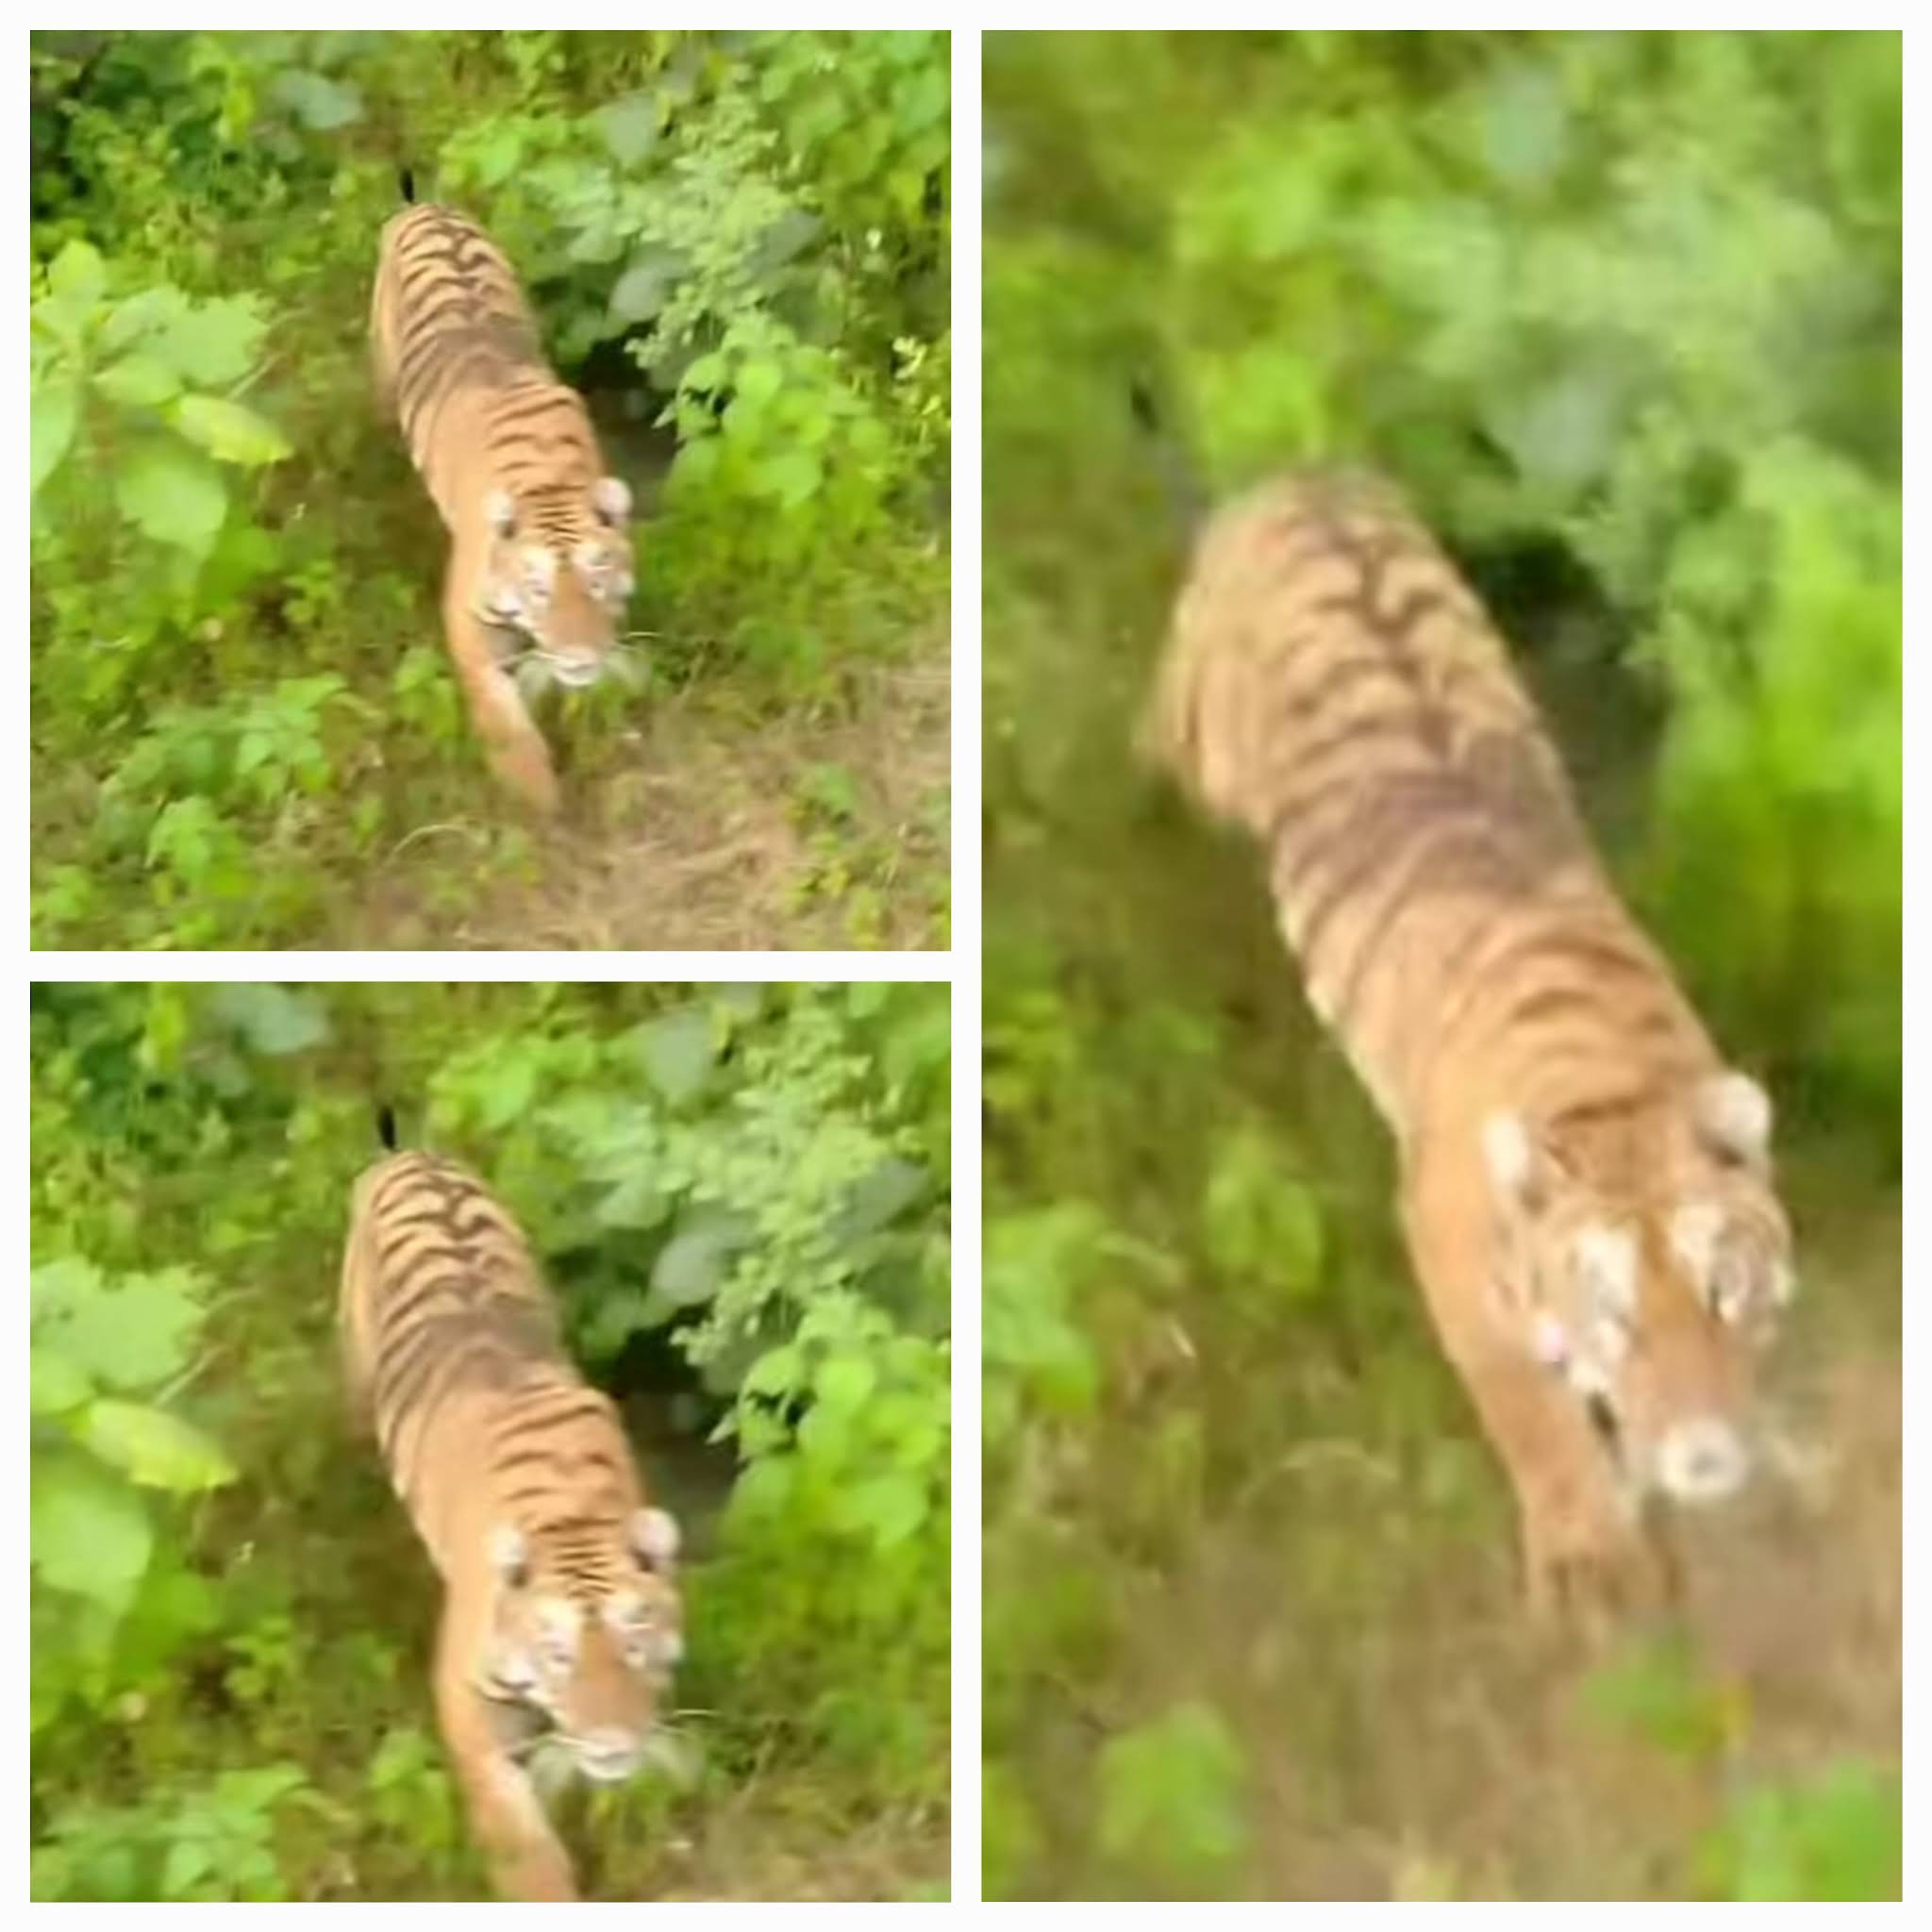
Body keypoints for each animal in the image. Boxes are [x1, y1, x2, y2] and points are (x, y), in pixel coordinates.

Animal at [339, 1128, 683, 1901]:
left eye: (635, 1639)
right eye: (556, 1655)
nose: (613, 1743)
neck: (573, 1517)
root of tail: (412, 1154)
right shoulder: (468, 1709)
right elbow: (522, 1843)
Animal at [370, 179, 637, 815]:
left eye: (597, 579)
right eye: (537, 590)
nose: (581, 659)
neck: (551, 485)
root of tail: (425, 206)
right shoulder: (467, 627)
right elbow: (504, 719)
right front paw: (536, 804)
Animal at [1147, 469, 1796, 1623]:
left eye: (1724, 1293)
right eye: (1616, 1316)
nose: (1707, 1460)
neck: (1617, 1085)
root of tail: (1296, 476)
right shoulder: (1447, 1247)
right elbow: (1526, 1412)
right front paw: (1590, 1562)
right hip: (1198, 733)